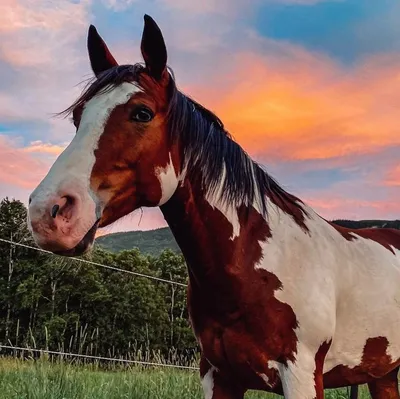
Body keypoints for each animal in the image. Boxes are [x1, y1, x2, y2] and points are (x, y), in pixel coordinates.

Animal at [26, 13, 398, 399]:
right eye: (77, 117)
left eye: (142, 113)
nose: (48, 212)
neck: (254, 262)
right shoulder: (218, 375)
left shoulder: (302, 376)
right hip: (384, 376)